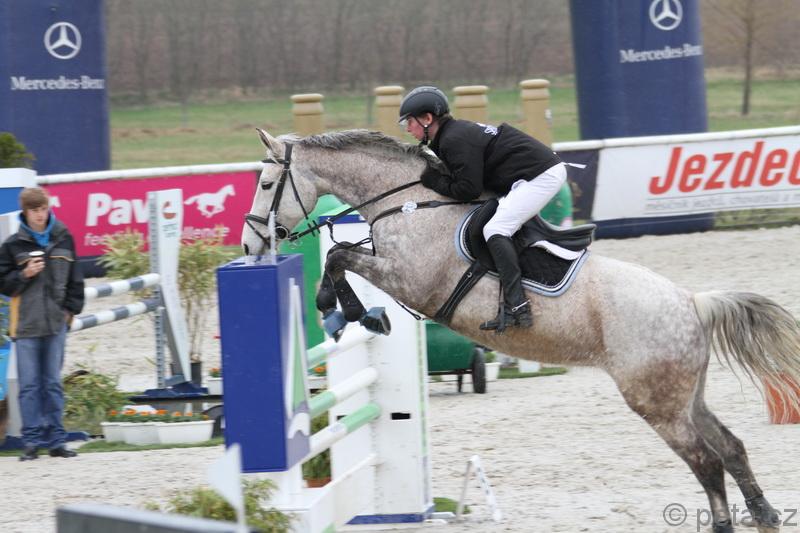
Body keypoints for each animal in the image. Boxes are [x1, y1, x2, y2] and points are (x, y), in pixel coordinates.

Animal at [242, 128, 800, 533]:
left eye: (267, 185)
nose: (251, 246)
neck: (411, 203)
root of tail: (691, 302)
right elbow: (340, 254)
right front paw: (348, 312)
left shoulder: (410, 279)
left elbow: (339, 255)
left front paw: (346, 310)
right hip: (685, 395)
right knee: (730, 447)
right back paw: (766, 515)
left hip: (656, 401)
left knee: (706, 461)